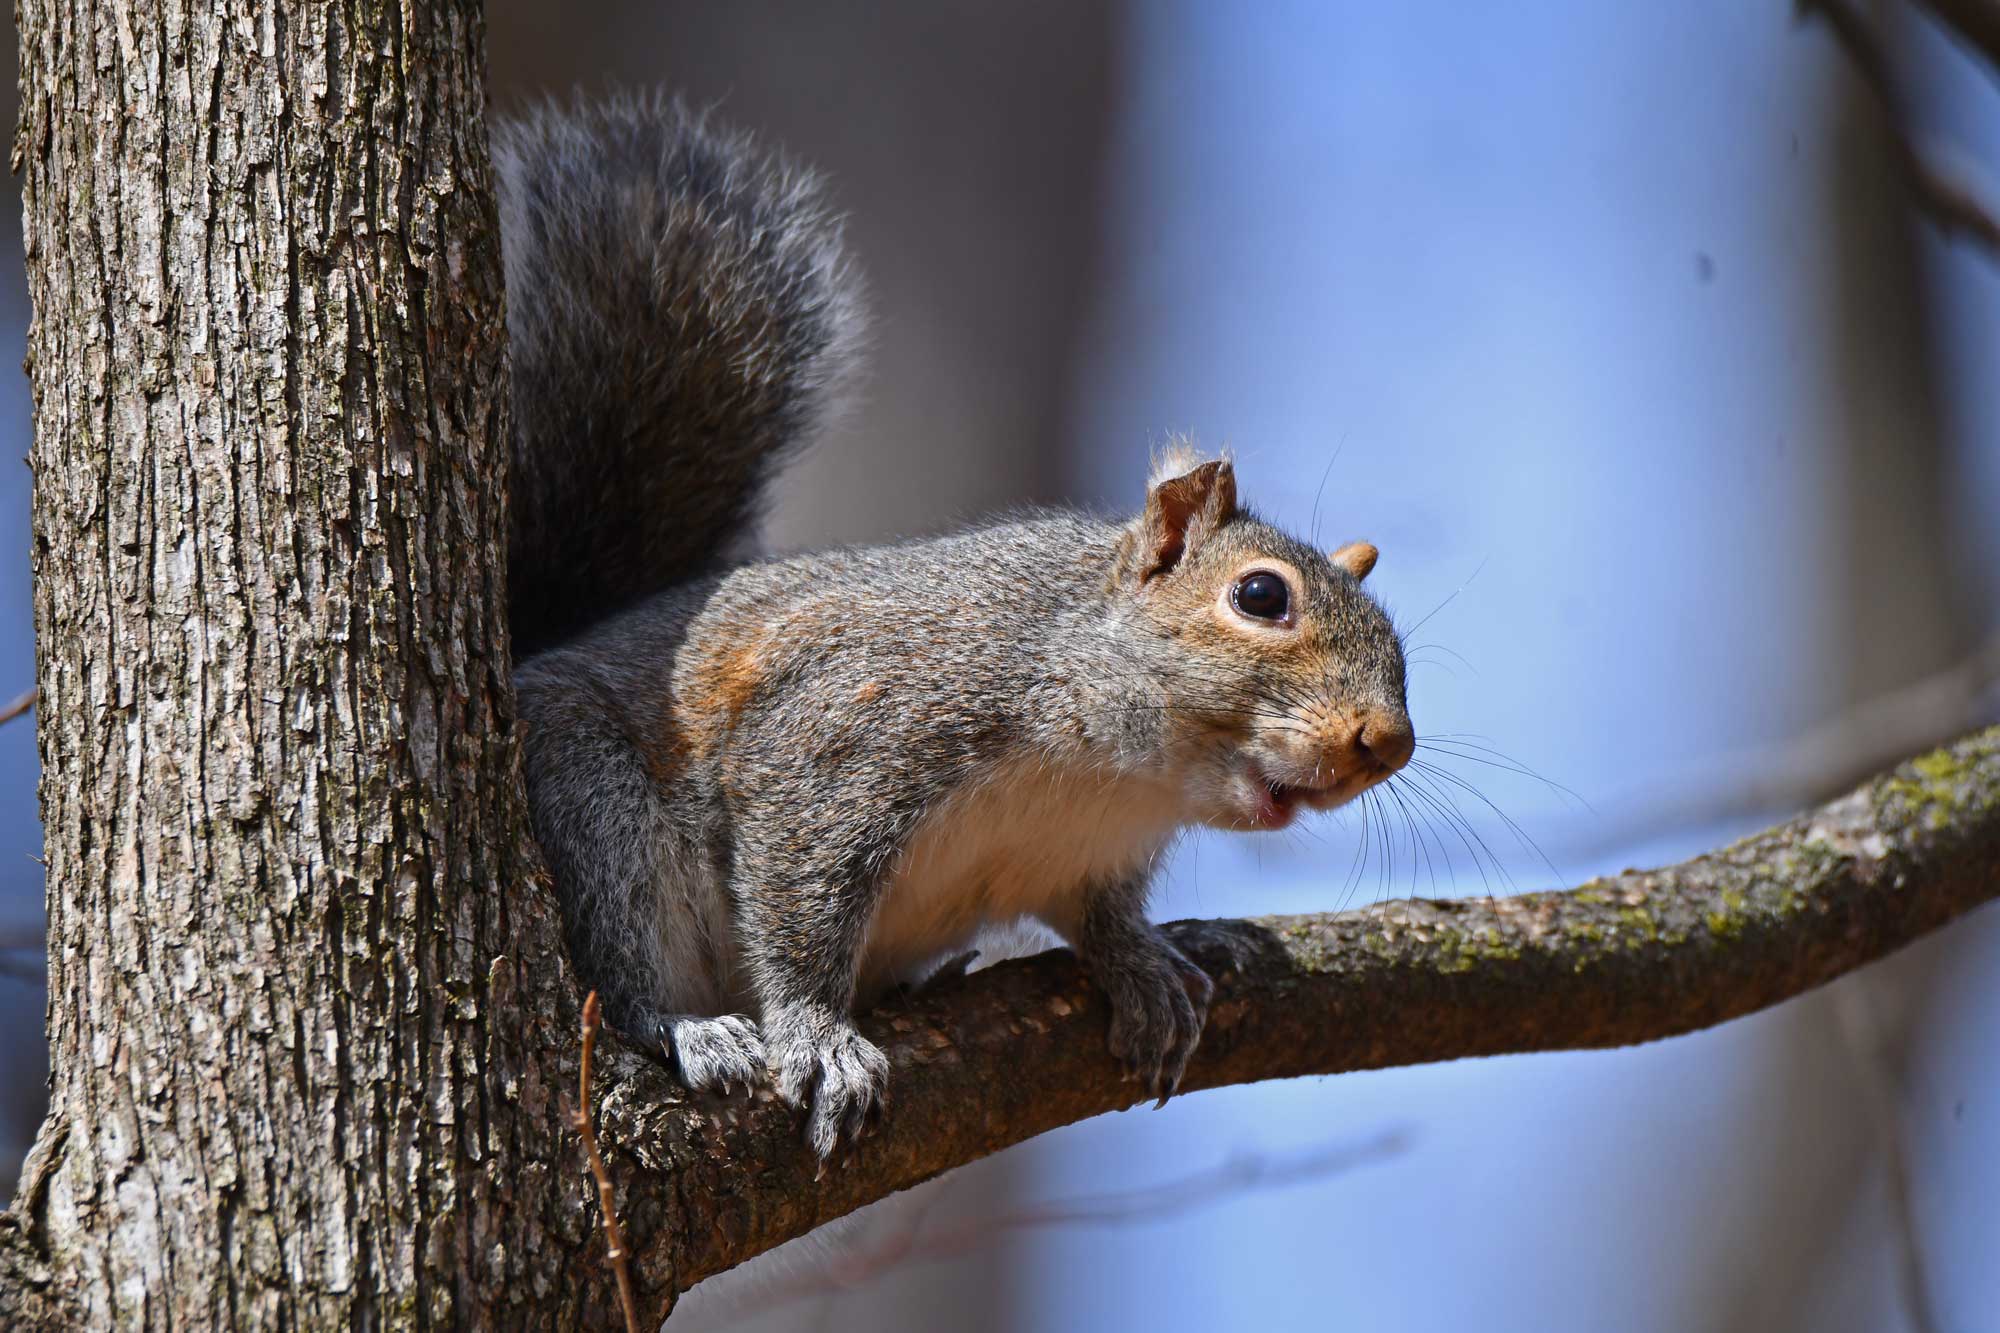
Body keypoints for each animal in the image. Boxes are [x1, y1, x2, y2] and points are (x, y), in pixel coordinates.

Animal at [499, 94, 1415, 1159]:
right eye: (1262, 597)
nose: (1388, 742)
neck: (1106, 770)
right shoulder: (846, 739)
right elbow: (798, 901)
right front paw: (819, 1037)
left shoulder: (1088, 854)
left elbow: (1100, 916)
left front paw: (1142, 963)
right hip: (593, 798)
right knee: (619, 952)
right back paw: (690, 1027)